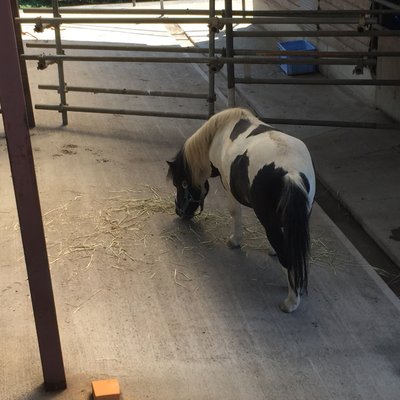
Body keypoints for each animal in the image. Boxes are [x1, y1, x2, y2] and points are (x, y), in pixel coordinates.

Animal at [166, 108, 316, 312]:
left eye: (180, 183)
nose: (180, 212)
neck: (218, 133)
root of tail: (291, 174)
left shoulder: (227, 184)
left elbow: (235, 212)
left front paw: (234, 241)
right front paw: (271, 250)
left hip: (268, 220)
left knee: (288, 257)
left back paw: (290, 302)